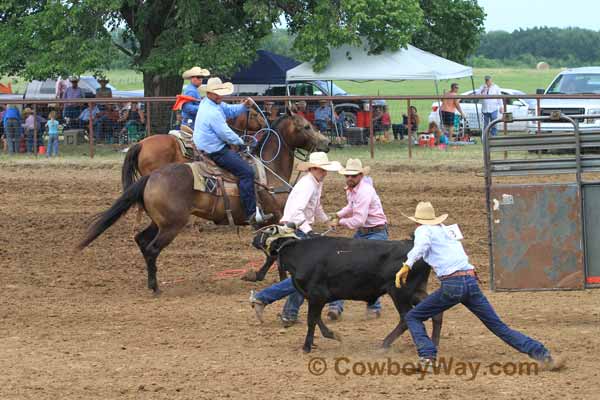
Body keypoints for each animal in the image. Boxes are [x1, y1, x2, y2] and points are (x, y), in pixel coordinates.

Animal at [77, 111, 330, 292]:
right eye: (307, 127)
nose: (326, 143)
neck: (269, 170)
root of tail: (153, 177)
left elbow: (275, 252)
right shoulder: (274, 219)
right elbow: (274, 253)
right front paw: (258, 276)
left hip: (160, 222)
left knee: (141, 240)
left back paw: (151, 282)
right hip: (171, 225)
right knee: (152, 248)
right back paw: (156, 287)